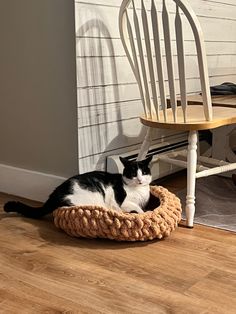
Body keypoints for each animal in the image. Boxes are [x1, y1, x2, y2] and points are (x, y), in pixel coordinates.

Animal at [4, 155, 153, 218]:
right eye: (133, 173)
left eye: (144, 172)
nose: (140, 179)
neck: (140, 190)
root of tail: (54, 194)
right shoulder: (124, 202)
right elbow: (138, 209)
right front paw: (143, 214)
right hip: (92, 199)